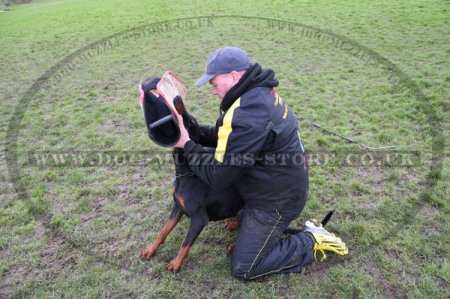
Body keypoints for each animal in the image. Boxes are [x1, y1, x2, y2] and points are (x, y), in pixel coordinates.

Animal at [141, 95, 244, 272]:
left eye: (189, 122)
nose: (177, 97)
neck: (186, 173)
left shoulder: (199, 218)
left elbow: (185, 243)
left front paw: (175, 264)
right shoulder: (178, 207)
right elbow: (163, 231)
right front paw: (150, 250)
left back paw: (232, 246)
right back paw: (232, 224)